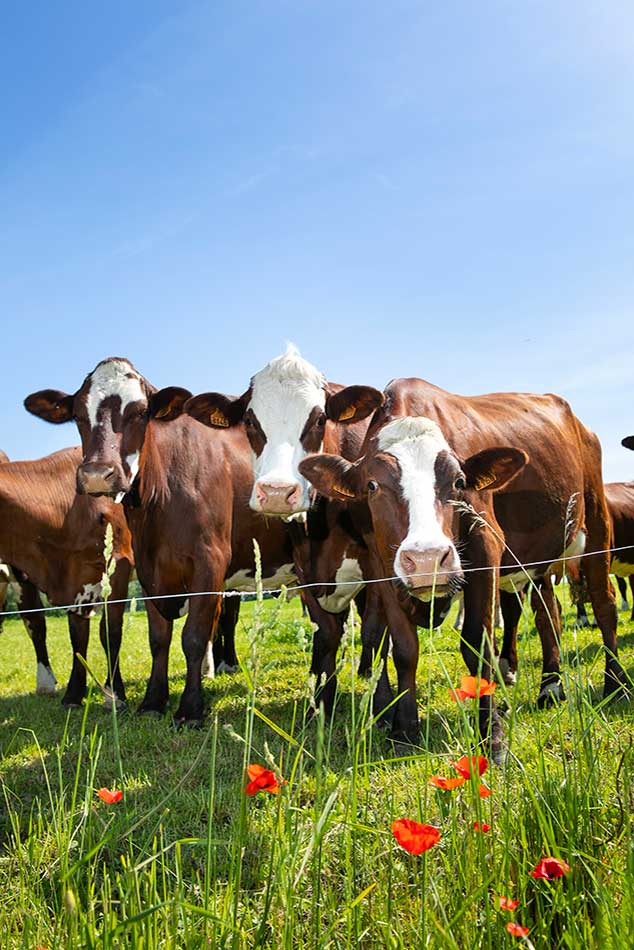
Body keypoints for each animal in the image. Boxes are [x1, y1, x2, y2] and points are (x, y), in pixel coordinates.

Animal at [0, 447, 133, 706]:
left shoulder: (119, 566)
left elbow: (110, 632)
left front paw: (114, 694)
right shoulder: (69, 579)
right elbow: (73, 636)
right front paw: (71, 694)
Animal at [25, 359, 305, 724]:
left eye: (140, 412)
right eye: (78, 415)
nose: (98, 475)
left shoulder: (210, 560)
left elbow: (195, 636)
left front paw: (190, 709)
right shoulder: (149, 568)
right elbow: (158, 638)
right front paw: (153, 701)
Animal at [297, 379, 628, 760]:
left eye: (458, 481)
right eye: (372, 485)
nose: (427, 559)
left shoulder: (486, 546)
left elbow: (477, 644)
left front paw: (493, 735)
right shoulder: (382, 566)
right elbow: (404, 649)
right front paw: (404, 729)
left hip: (597, 523)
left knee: (604, 604)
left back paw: (616, 684)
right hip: (540, 557)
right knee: (549, 612)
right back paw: (551, 686)